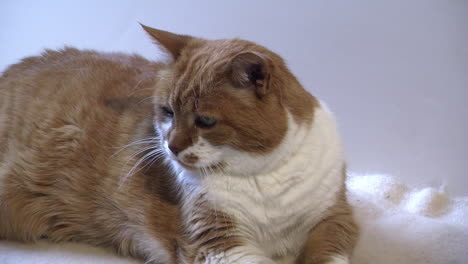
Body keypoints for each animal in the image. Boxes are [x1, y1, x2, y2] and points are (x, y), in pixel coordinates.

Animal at [0, 25, 358, 264]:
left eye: (206, 121)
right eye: (167, 112)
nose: (170, 146)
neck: (263, 177)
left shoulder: (335, 219)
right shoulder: (216, 240)